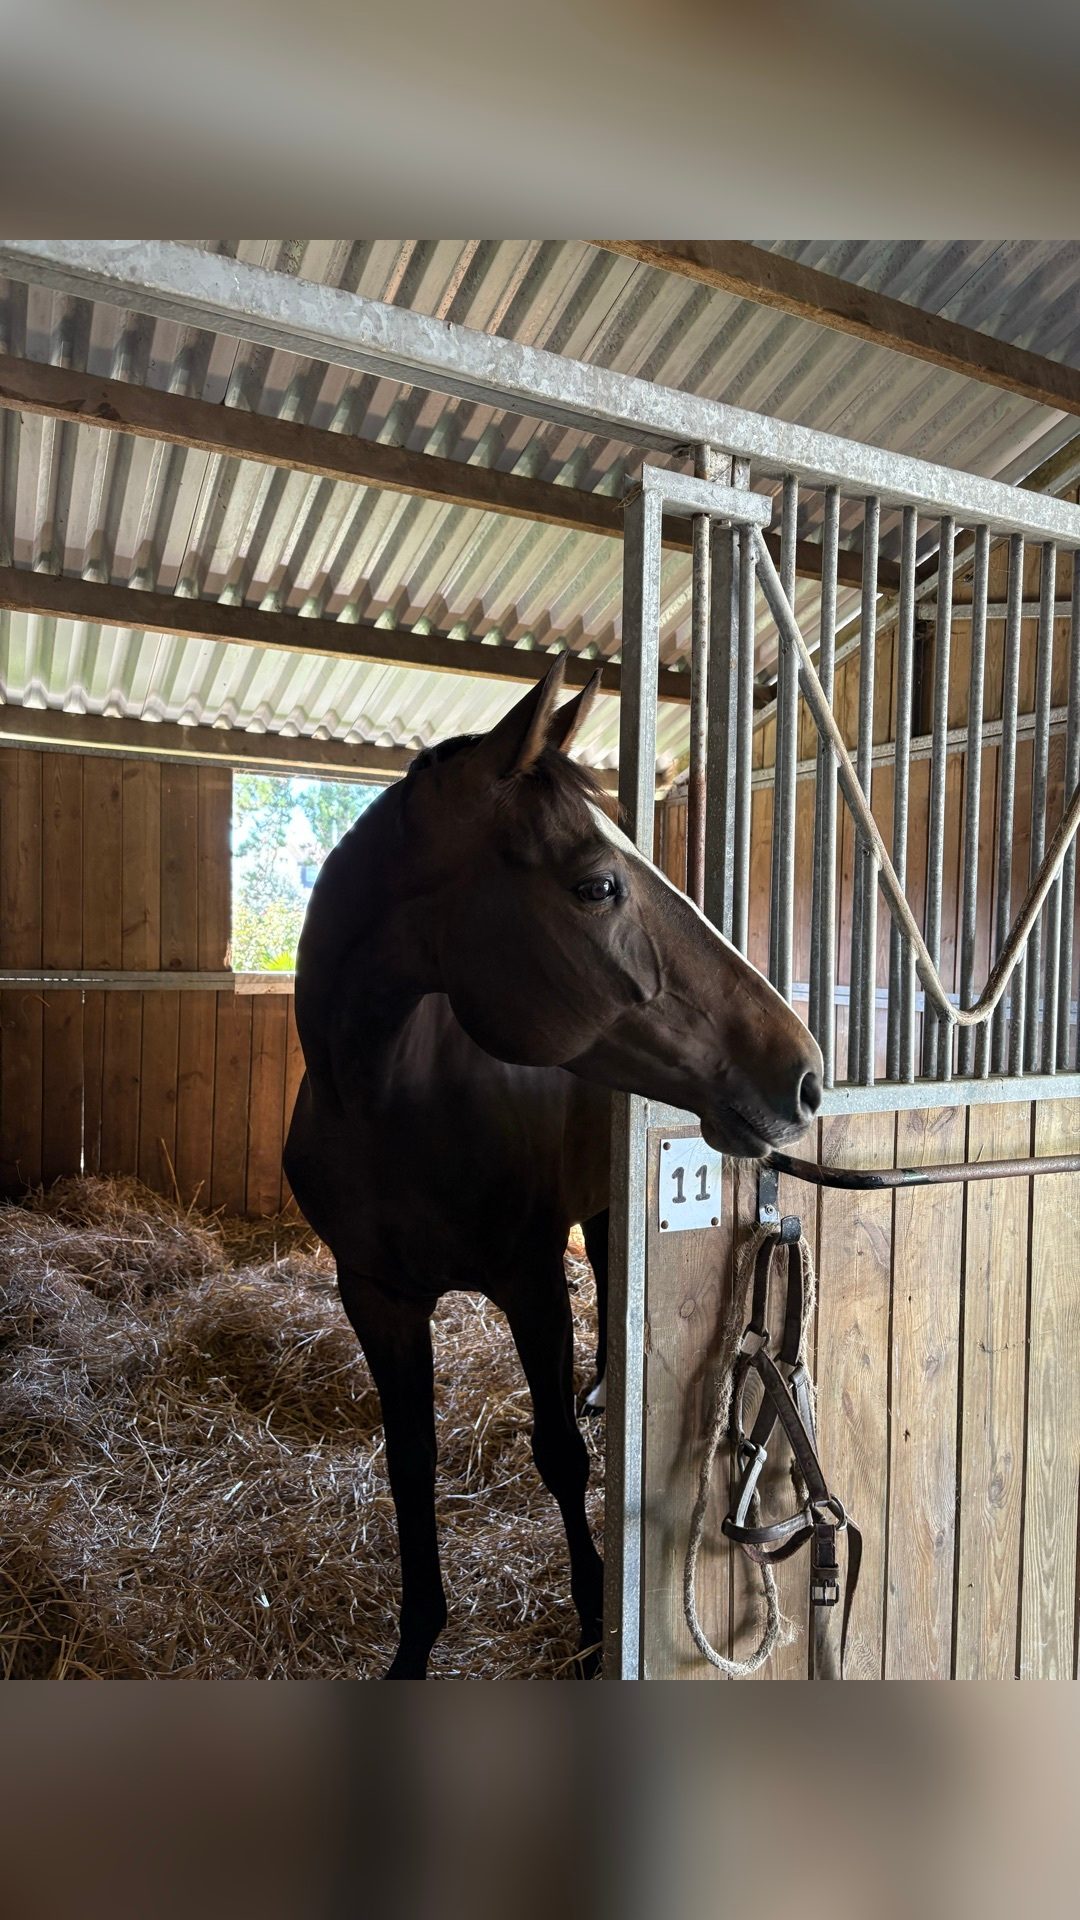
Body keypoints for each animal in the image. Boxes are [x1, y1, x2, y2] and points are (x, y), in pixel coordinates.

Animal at [283, 657, 823, 1677]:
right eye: (598, 885)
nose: (808, 1074)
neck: (386, 1102)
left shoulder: (528, 1278)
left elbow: (561, 1454)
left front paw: (588, 1620)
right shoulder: (373, 1295)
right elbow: (409, 1463)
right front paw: (415, 1643)